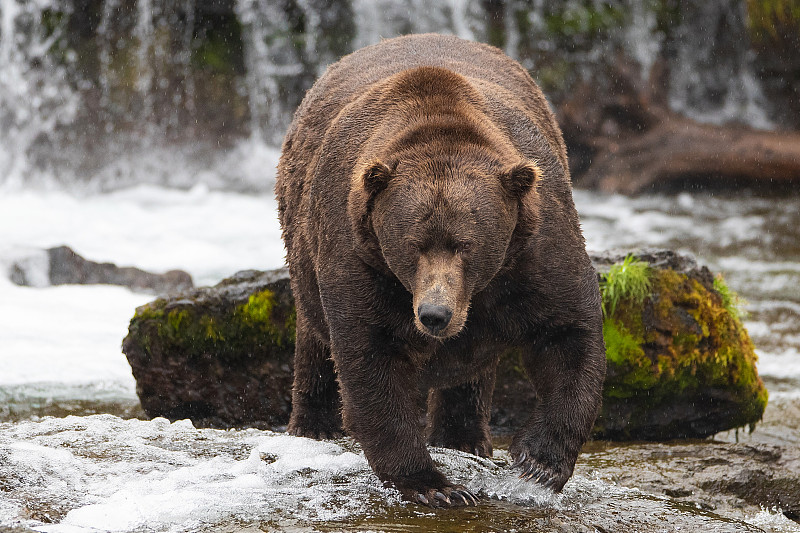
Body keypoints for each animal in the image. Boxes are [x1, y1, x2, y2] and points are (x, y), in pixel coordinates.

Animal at [276, 33, 608, 508]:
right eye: (414, 246)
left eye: (466, 245)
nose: (435, 314)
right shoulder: (360, 254)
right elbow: (369, 358)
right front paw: (436, 485)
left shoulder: (534, 247)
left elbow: (567, 331)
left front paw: (538, 463)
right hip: (303, 252)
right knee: (314, 338)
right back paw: (313, 426)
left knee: (471, 369)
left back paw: (464, 437)